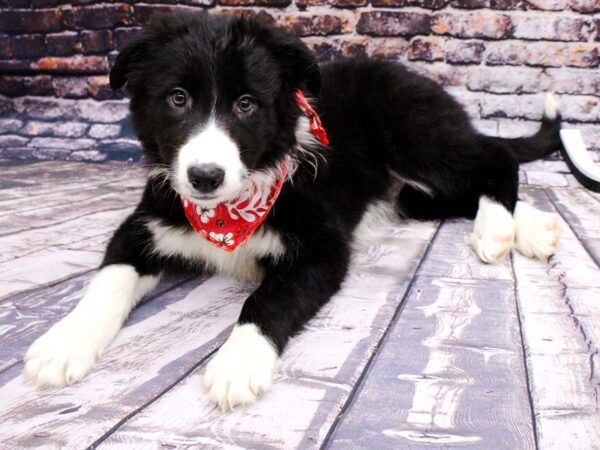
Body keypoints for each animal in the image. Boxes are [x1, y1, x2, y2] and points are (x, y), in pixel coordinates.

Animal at [23, 11, 560, 412]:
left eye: (246, 104)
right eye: (177, 98)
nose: (204, 177)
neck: (228, 213)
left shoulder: (321, 248)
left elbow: (268, 299)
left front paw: (238, 363)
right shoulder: (146, 221)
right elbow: (106, 281)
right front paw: (63, 343)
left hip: (413, 130)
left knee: (495, 157)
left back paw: (499, 228)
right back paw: (528, 229)